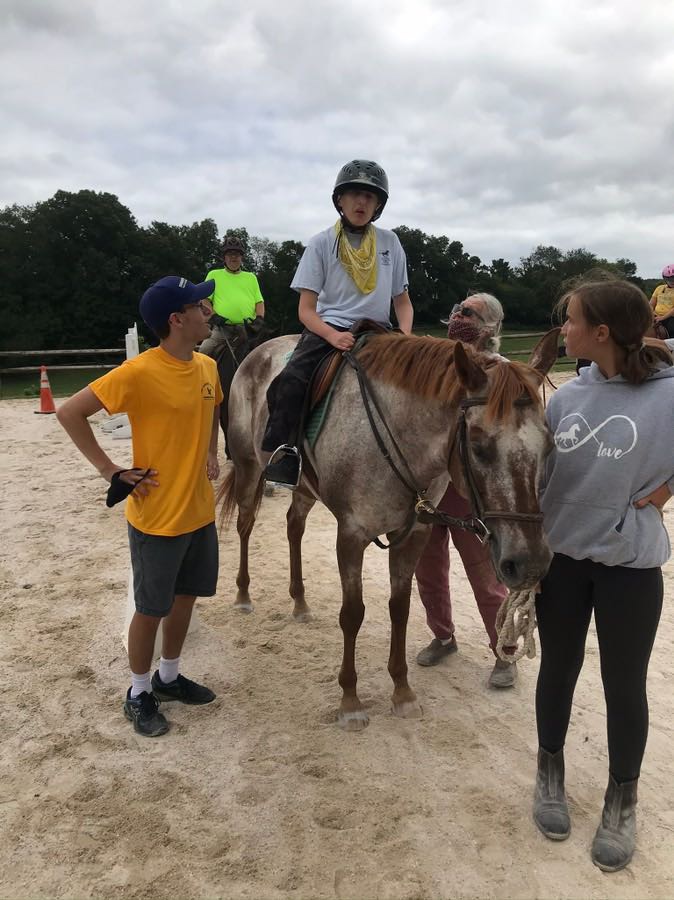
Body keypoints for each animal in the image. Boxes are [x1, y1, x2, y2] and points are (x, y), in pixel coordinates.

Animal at [219, 329, 559, 730]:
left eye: (549, 445)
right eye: (478, 446)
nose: (530, 564)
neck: (395, 435)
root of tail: (259, 350)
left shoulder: (413, 536)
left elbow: (401, 608)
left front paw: (402, 691)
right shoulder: (351, 535)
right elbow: (352, 614)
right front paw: (350, 700)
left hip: (303, 488)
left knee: (294, 527)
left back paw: (299, 602)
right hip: (247, 465)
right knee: (245, 524)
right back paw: (243, 595)